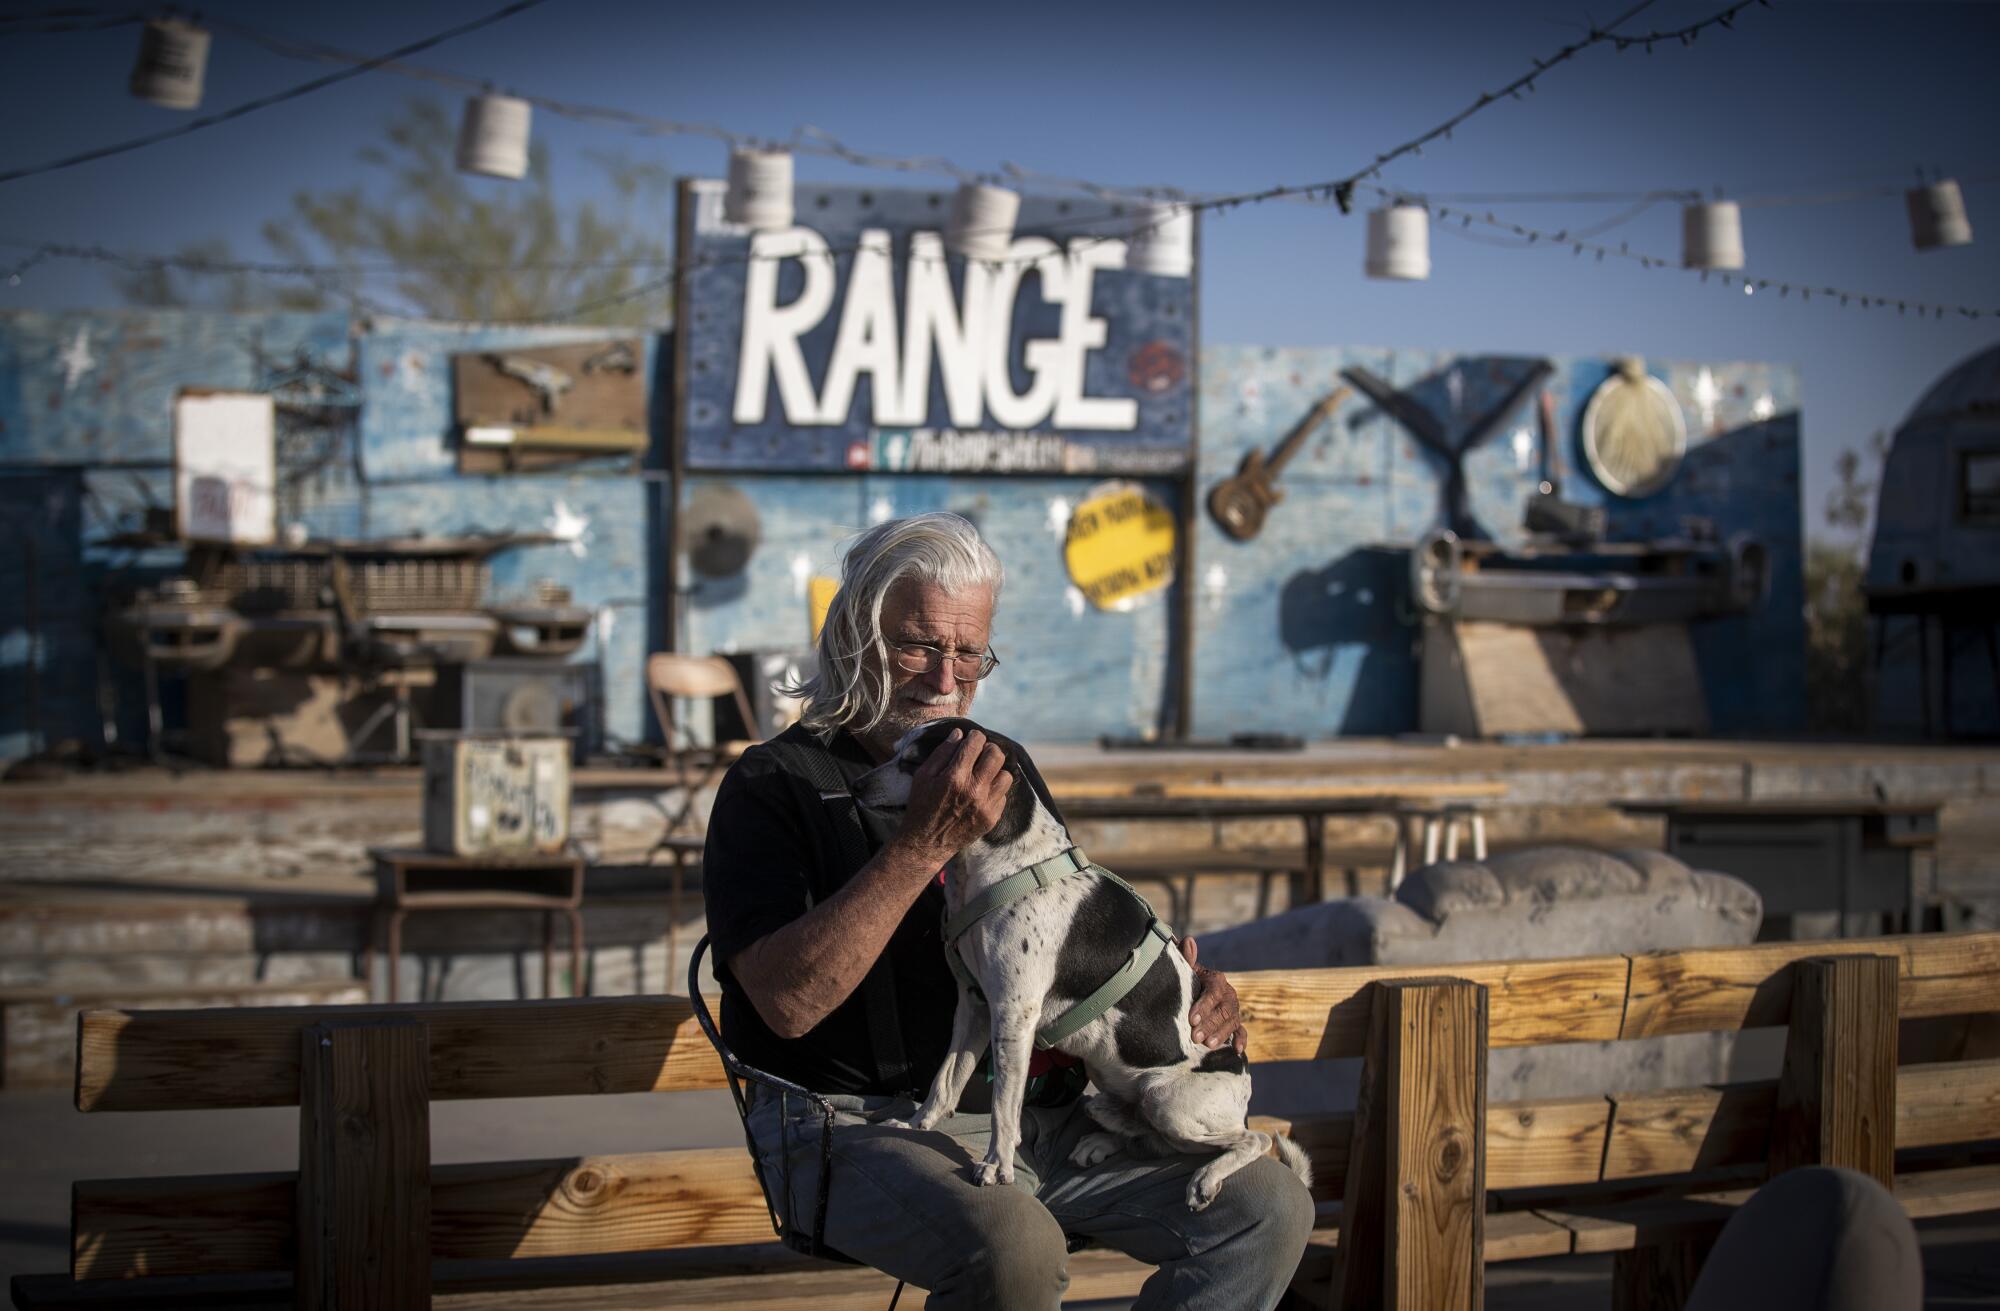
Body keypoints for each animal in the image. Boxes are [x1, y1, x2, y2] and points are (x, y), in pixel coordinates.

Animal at [848, 715, 1304, 1207]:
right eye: (896, 750)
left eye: (917, 762)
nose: (856, 785)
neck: (1001, 865)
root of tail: (1243, 1093)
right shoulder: (974, 1004)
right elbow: (945, 1080)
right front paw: (917, 1127)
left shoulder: (1013, 1012)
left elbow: (1003, 1105)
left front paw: (997, 1166)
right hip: (1113, 1081)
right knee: (1152, 1137)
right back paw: (1102, 1141)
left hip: (1167, 1098)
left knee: (1251, 1139)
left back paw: (1207, 1176)